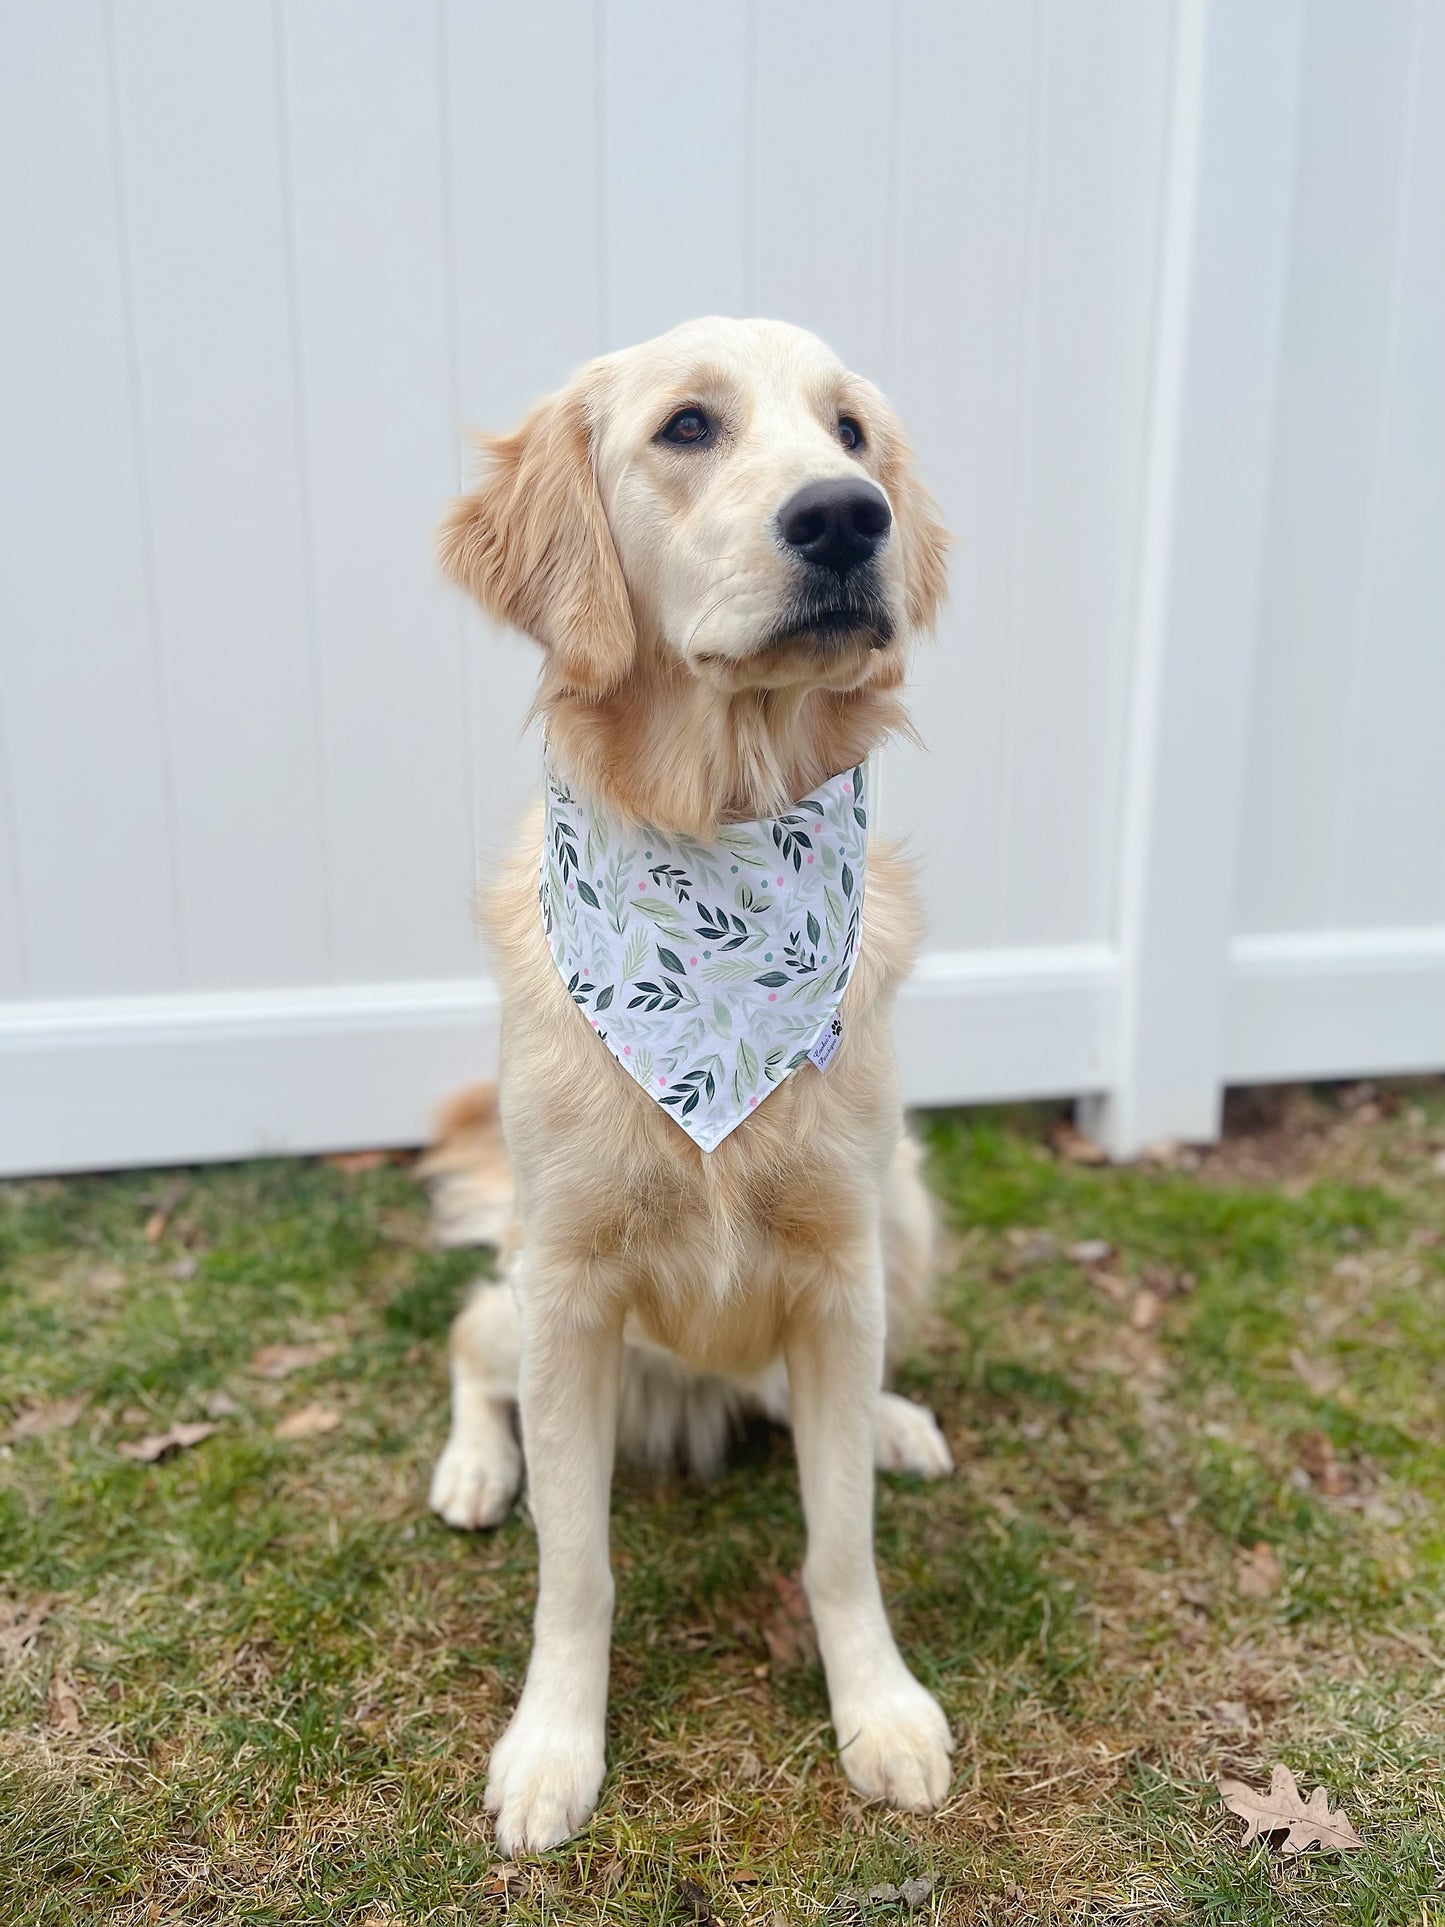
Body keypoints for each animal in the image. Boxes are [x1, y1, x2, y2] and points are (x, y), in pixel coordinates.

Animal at [423, 316, 955, 1849]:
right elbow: (575, 1567)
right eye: (686, 428)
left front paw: (877, 1707)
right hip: (518, 1290)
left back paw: (891, 1419)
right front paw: (553, 1744)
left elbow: (838, 1543)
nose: (846, 516)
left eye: (850, 431)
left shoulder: (839, 1268)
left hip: (904, 1211)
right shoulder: (567, 1289)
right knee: (461, 1349)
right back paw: (473, 1465)